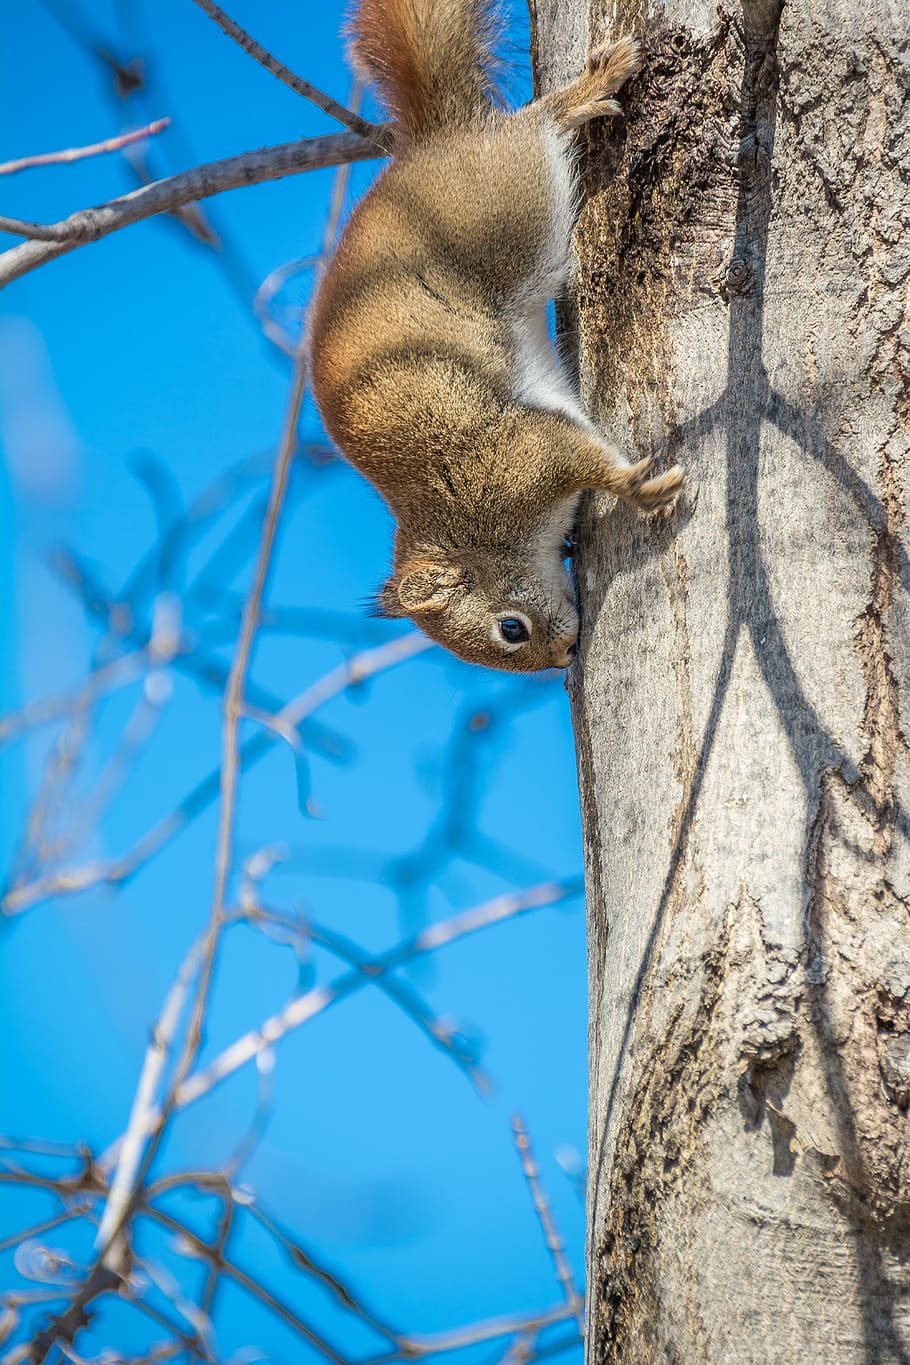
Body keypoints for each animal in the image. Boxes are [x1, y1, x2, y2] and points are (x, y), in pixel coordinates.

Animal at [309, 0, 684, 673]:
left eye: (510, 629)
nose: (563, 659)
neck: (466, 529)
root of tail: (435, 141)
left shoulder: (515, 459)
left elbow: (585, 459)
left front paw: (639, 488)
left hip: (509, 208)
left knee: (535, 126)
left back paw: (585, 92)